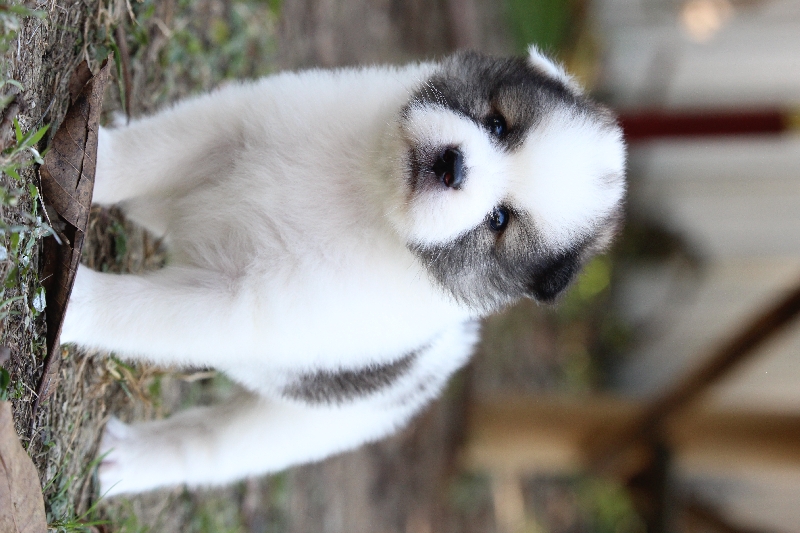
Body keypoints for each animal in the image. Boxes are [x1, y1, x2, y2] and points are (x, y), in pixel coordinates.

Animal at [60, 46, 626, 495]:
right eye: (497, 125)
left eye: (500, 221)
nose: (453, 164)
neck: (368, 194)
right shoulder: (234, 124)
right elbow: (146, 153)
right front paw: (90, 159)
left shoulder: (240, 306)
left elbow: (141, 311)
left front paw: (77, 301)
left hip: (314, 421)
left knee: (216, 445)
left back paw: (129, 462)